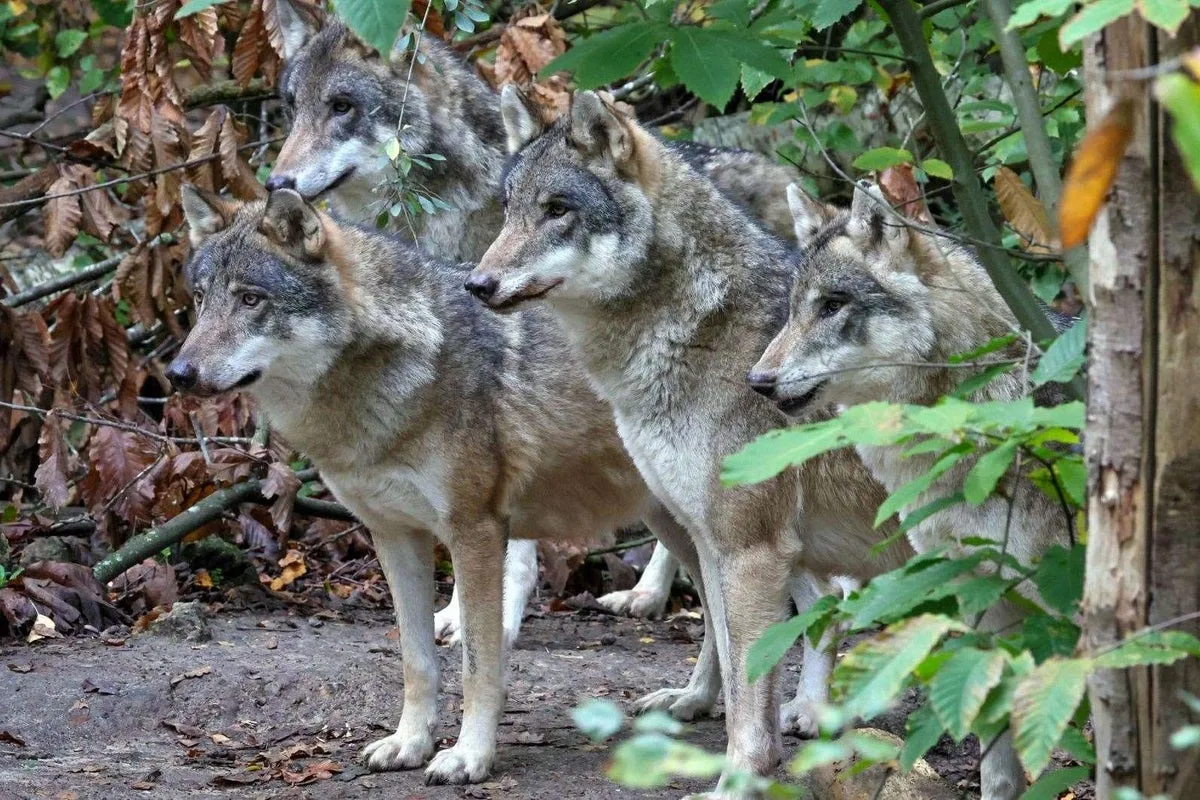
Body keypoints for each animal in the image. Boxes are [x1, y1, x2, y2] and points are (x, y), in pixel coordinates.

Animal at [166, 186, 717, 784]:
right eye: (201, 299)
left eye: (251, 300)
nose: (178, 373)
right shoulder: (394, 535)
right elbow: (416, 660)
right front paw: (409, 743)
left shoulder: (476, 531)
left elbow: (478, 665)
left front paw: (469, 756)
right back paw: (694, 700)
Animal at [465, 88, 912, 788]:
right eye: (509, 209)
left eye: (557, 210)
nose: (477, 284)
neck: (698, 331)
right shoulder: (725, 538)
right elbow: (737, 669)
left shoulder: (750, 546)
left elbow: (749, 689)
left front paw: (739, 779)